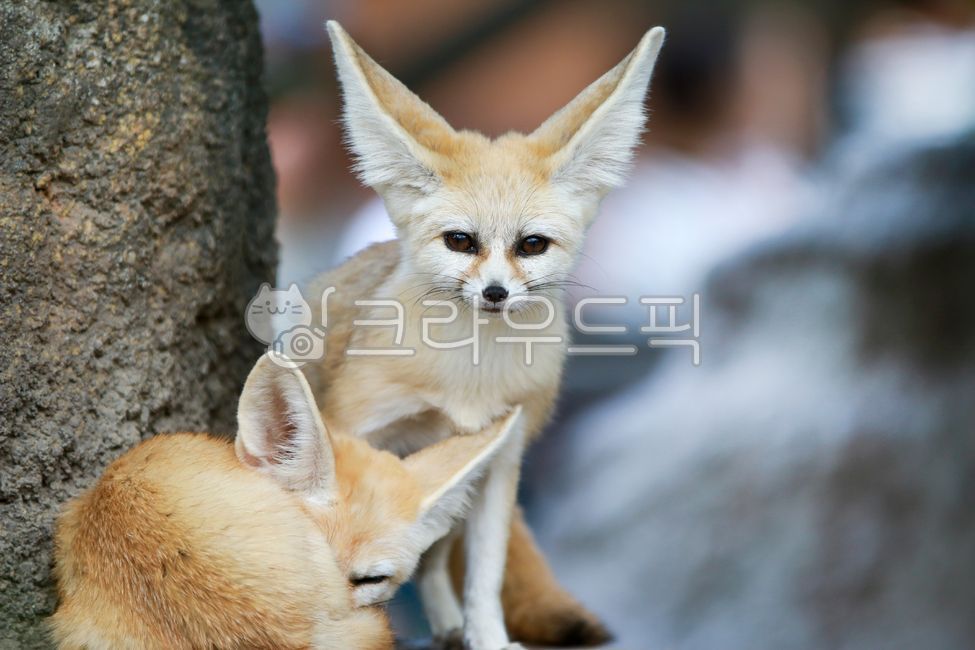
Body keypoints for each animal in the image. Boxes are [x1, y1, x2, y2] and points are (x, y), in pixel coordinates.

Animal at [300, 22, 666, 649]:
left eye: (532, 245)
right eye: (460, 241)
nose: (495, 293)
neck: (466, 375)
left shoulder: (501, 456)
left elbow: (486, 572)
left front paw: (488, 636)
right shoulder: (358, 426)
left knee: (432, 562)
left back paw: (449, 627)